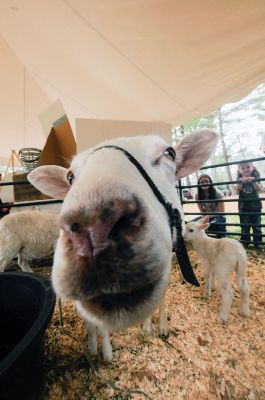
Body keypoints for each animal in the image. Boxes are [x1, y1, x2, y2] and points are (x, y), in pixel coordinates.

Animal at [27, 130, 218, 360]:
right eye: (70, 177)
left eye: (170, 153)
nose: (94, 232)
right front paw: (107, 349)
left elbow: (162, 295)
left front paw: (158, 326)